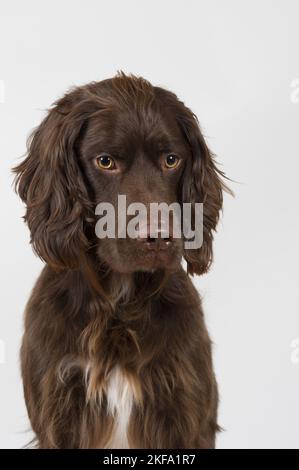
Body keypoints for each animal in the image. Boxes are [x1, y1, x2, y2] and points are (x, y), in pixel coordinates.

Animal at [12, 71, 231, 450]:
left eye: (171, 159)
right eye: (105, 161)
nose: (158, 237)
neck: (118, 303)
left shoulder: (184, 409)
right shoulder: (60, 411)